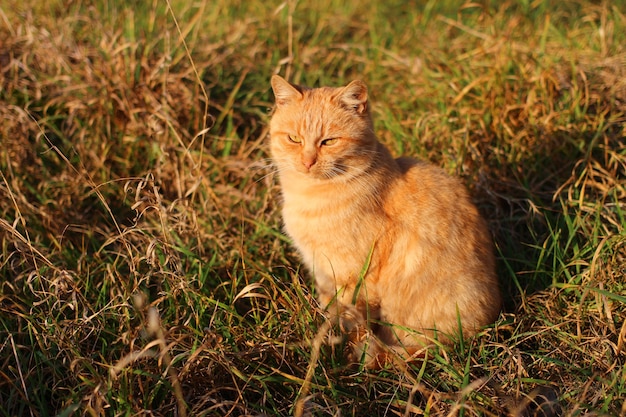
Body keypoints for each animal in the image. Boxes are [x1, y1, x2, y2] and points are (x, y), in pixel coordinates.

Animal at [270, 75, 502, 364]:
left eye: (329, 141)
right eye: (294, 139)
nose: (307, 161)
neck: (308, 195)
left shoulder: (355, 279)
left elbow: (352, 321)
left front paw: (346, 350)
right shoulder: (322, 272)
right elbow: (330, 307)